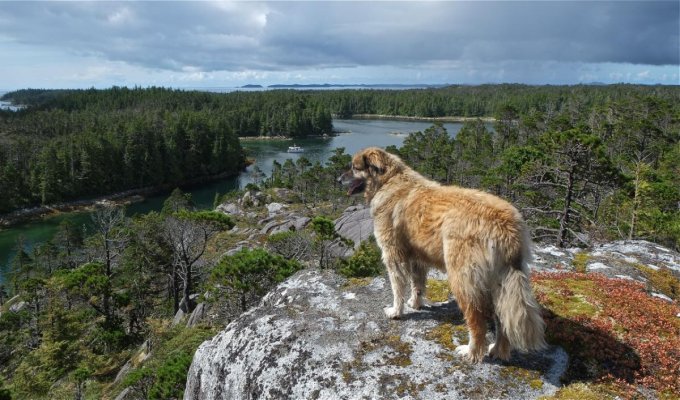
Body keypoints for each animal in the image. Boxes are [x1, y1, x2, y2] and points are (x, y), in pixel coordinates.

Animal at [340, 146, 548, 362]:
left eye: (354, 167)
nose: (338, 179)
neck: (389, 181)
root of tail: (506, 226)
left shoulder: (393, 255)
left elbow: (398, 288)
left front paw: (396, 311)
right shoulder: (418, 258)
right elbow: (417, 285)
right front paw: (415, 303)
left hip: (462, 279)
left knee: (477, 321)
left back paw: (471, 352)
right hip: (500, 282)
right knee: (502, 320)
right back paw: (497, 350)